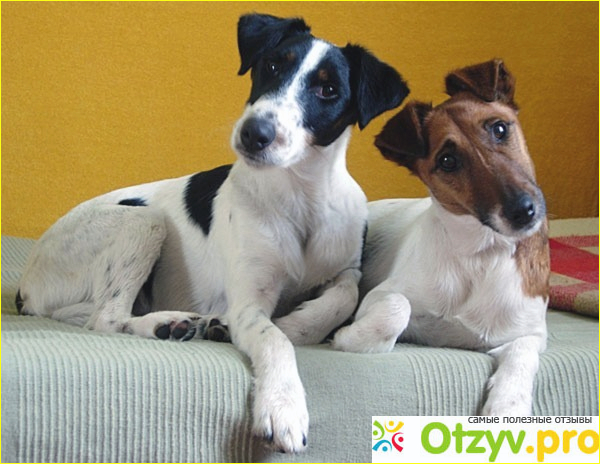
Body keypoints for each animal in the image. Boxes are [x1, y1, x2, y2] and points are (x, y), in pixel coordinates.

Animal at [16, 13, 409, 452]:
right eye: (272, 65)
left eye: (328, 89)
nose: (255, 133)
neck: (299, 198)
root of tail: (26, 284)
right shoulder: (248, 304)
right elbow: (275, 338)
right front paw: (284, 404)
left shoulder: (346, 268)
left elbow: (345, 294)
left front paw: (300, 324)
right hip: (143, 221)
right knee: (105, 318)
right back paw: (168, 323)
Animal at [332, 60, 550, 416]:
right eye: (448, 161)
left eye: (500, 129)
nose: (524, 211)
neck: (480, 256)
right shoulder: (381, 295)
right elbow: (396, 310)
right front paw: (346, 337)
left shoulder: (530, 332)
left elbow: (522, 355)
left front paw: (507, 405)